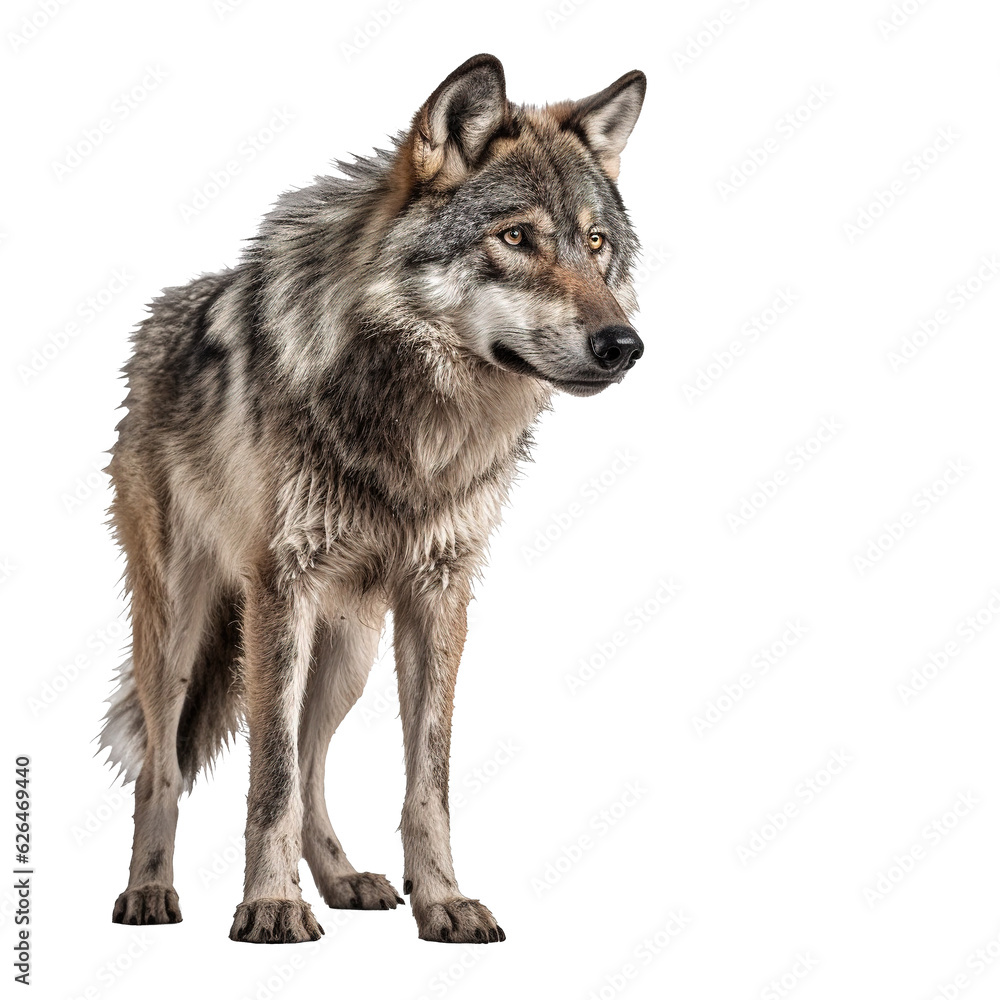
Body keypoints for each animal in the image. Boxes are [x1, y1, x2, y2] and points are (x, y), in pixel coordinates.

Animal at [101, 53, 645, 944]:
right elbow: (268, 781)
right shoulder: (280, 586)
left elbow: (427, 780)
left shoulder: (440, 595)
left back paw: (345, 879)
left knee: (314, 762)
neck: (418, 430)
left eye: (595, 244)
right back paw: (149, 892)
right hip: (184, 633)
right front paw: (270, 905)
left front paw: (443, 900)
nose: (625, 345)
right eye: (516, 237)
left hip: (348, 651)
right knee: (166, 766)